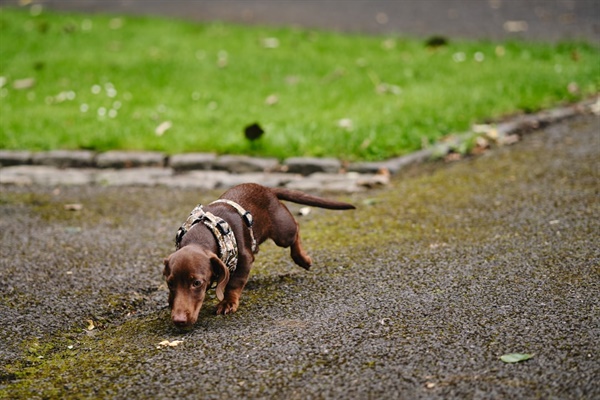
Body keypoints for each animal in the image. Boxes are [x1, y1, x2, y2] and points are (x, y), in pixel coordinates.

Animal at [162, 183, 354, 326]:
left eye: (197, 283)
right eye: (170, 283)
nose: (178, 321)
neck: (205, 233)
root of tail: (268, 189)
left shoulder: (245, 260)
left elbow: (234, 284)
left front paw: (227, 303)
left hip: (283, 233)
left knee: (296, 227)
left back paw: (302, 258)